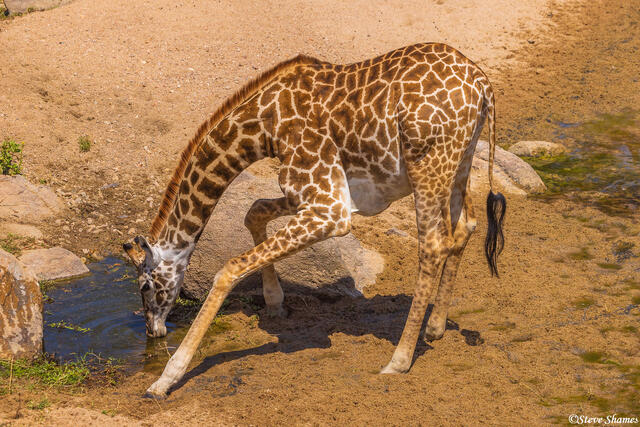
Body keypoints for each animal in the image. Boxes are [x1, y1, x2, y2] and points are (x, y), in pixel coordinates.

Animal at [123, 42, 507, 398]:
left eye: (144, 287)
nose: (153, 331)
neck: (263, 126)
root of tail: (483, 85)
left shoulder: (331, 209)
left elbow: (230, 268)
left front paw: (165, 380)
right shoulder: (309, 198)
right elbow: (254, 211)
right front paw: (276, 303)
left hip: (426, 164)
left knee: (433, 245)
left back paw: (398, 361)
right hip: (460, 162)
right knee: (464, 226)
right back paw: (435, 327)